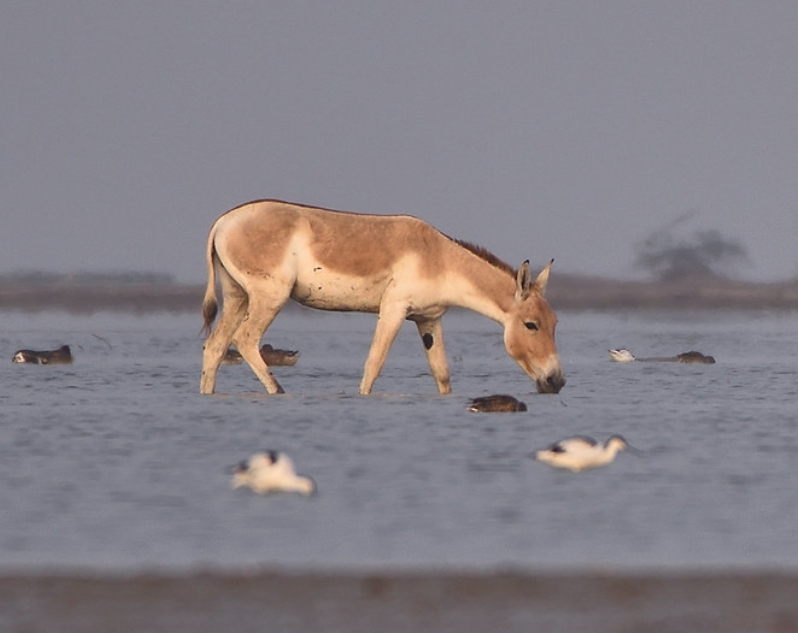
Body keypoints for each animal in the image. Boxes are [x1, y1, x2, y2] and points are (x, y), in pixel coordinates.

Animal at [200, 199, 565, 396]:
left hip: (237, 295)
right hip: (269, 295)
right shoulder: (394, 309)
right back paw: (278, 391)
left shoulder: (428, 318)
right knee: (245, 339)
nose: (557, 381)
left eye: (555, 324)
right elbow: (373, 365)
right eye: (531, 325)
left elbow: (442, 373)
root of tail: (223, 221)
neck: (440, 259)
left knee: (215, 346)